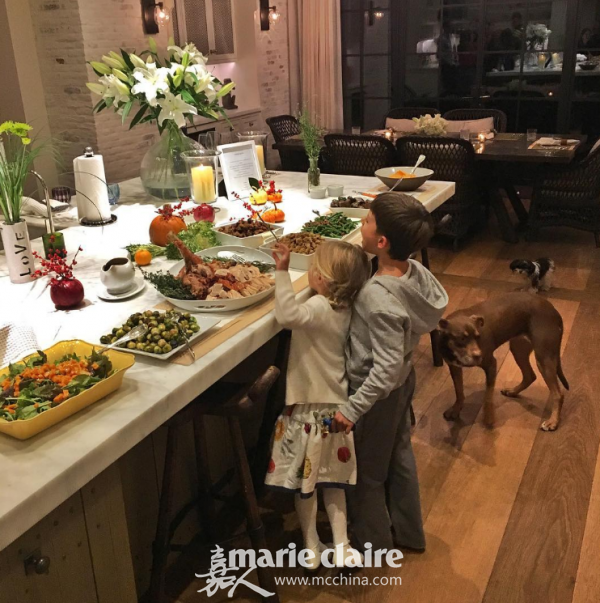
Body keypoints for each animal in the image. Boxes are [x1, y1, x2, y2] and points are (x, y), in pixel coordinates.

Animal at [438, 292, 569, 432]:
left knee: (558, 394)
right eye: (462, 339)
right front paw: (455, 410)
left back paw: (553, 422)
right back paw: (513, 391)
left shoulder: (491, 365)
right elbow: (459, 390)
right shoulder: (454, 367)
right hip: (518, 349)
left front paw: (488, 417)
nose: (479, 355)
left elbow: (488, 396)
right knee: (530, 376)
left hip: (544, 357)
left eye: (478, 337)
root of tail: (554, 311)